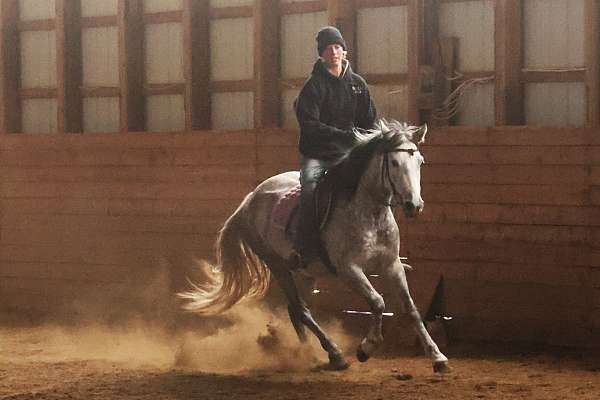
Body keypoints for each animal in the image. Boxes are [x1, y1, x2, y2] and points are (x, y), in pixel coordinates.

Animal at [179, 120, 450, 374]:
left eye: (420, 162)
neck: (368, 213)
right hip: (278, 266)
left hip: (305, 274)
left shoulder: (391, 265)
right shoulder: (349, 269)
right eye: (394, 162)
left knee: (296, 310)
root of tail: (249, 201)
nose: (414, 205)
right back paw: (332, 354)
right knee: (301, 310)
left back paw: (309, 352)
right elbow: (378, 302)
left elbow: (411, 309)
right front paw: (366, 347)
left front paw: (438, 357)